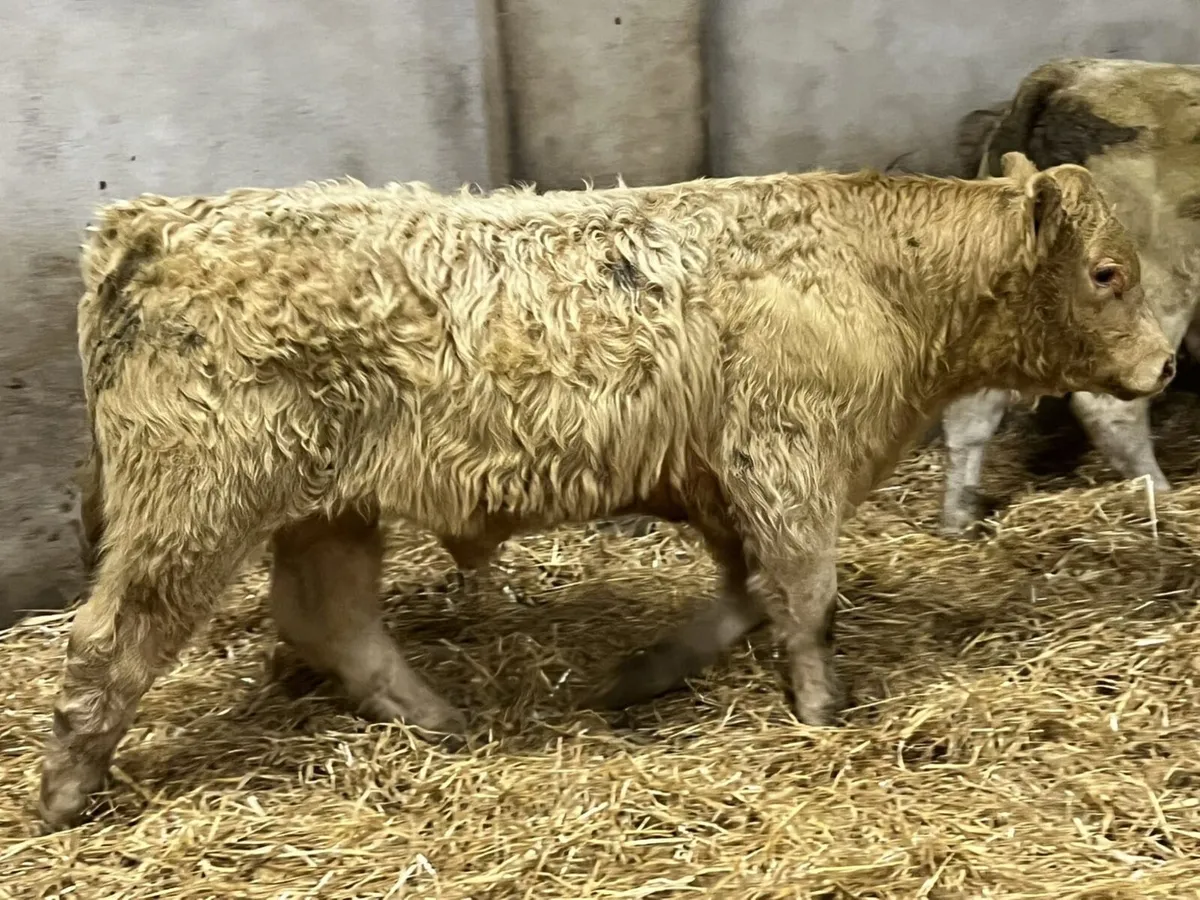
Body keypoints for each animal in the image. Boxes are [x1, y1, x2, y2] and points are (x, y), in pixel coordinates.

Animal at [36, 156, 1173, 832]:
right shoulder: (789, 460)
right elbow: (805, 595)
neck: (874, 275)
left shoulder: (720, 480)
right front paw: (822, 710)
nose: (1164, 365)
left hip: (327, 506)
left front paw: (644, 676)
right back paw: (63, 792)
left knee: (332, 618)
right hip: (190, 504)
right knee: (111, 641)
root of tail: (151, 222)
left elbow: (748, 594)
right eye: (1107, 273)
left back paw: (440, 720)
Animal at [939, 57, 1200, 536]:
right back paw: (1162, 499)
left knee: (971, 408)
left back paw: (958, 519)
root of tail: (1069, 74)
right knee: (1110, 407)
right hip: (1156, 280)